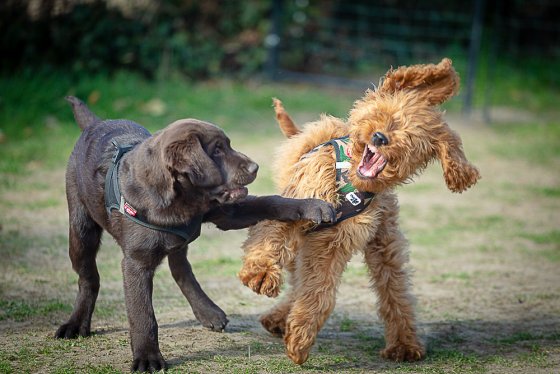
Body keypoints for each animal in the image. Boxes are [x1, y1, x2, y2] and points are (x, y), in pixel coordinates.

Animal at [55, 97, 336, 372]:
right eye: (217, 150)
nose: (255, 167)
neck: (182, 199)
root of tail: (96, 123)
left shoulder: (227, 212)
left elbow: (272, 201)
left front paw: (312, 206)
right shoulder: (136, 263)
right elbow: (143, 314)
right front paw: (147, 357)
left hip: (177, 243)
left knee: (181, 270)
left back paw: (208, 312)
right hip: (81, 229)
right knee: (89, 278)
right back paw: (76, 324)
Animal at [238, 59, 480, 366]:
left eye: (410, 134)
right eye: (383, 114)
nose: (380, 137)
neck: (350, 181)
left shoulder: (332, 243)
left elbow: (318, 293)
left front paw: (300, 338)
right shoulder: (296, 204)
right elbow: (271, 239)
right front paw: (260, 274)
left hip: (384, 247)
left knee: (394, 293)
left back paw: (404, 345)